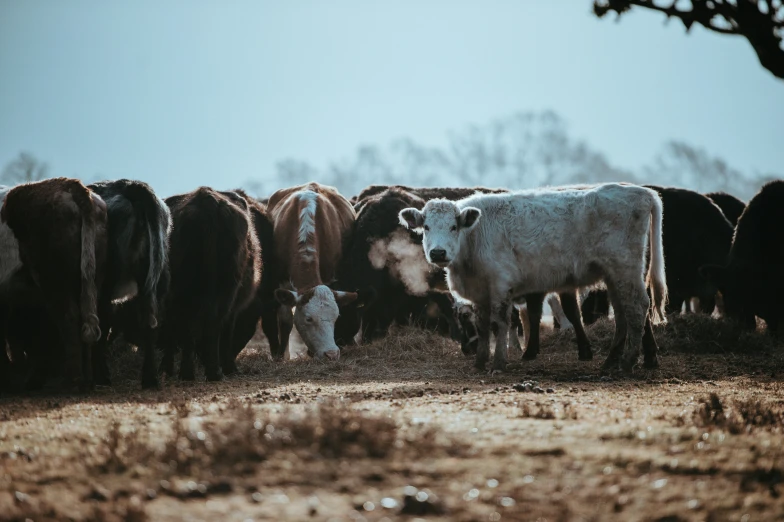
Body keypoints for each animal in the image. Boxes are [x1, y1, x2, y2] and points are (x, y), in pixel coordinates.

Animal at [0, 178, 107, 386]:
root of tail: (70, 185)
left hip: (53, 280)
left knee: (69, 317)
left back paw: (73, 379)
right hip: (91, 277)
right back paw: (87, 380)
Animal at [161, 186, 262, 378]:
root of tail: (207, 200)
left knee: (192, 324)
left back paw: (188, 372)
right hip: (226, 287)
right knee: (214, 322)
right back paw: (215, 371)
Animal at [266, 181, 358, 356]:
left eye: (336, 317)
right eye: (309, 319)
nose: (331, 354)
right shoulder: (281, 280)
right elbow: (286, 320)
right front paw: (283, 355)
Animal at [402, 182, 664, 370]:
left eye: (453, 227)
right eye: (426, 227)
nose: (438, 252)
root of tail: (641, 192)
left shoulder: (501, 285)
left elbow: (500, 323)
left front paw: (499, 363)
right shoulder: (481, 292)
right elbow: (484, 326)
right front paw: (480, 362)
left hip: (626, 269)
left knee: (638, 307)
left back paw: (628, 362)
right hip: (614, 275)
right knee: (622, 312)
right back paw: (612, 362)